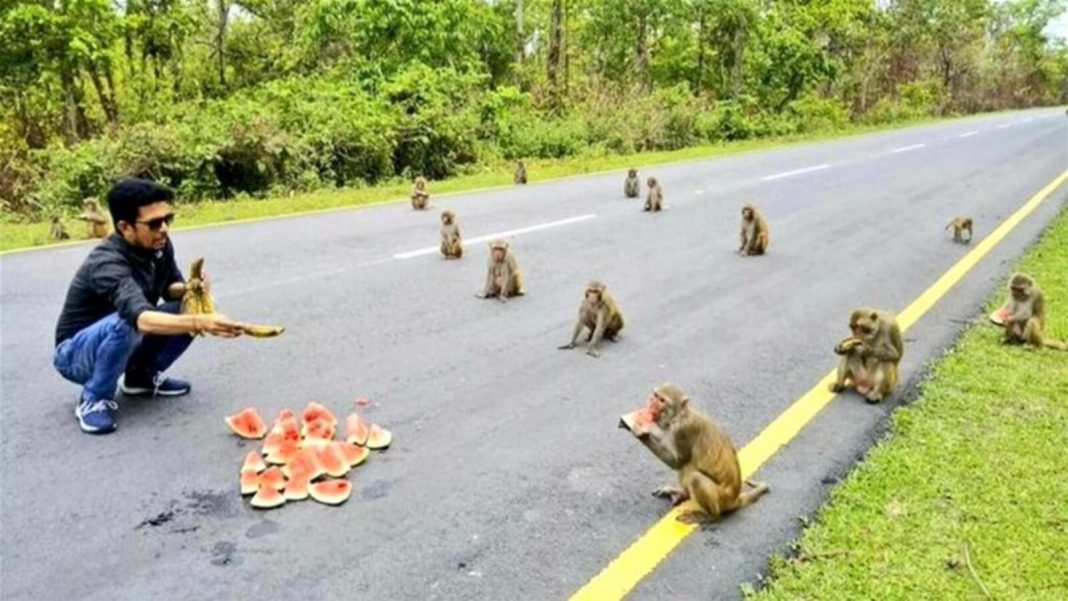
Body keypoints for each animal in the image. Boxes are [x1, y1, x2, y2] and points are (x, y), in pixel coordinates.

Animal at [623, 386, 773, 523]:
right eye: (655, 395)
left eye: (662, 400)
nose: (651, 403)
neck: (678, 417)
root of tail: (734, 499)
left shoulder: (684, 431)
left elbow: (677, 462)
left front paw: (642, 430)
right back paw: (682, 493)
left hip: (721, 499)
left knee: (693, 474)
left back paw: (710, 516)